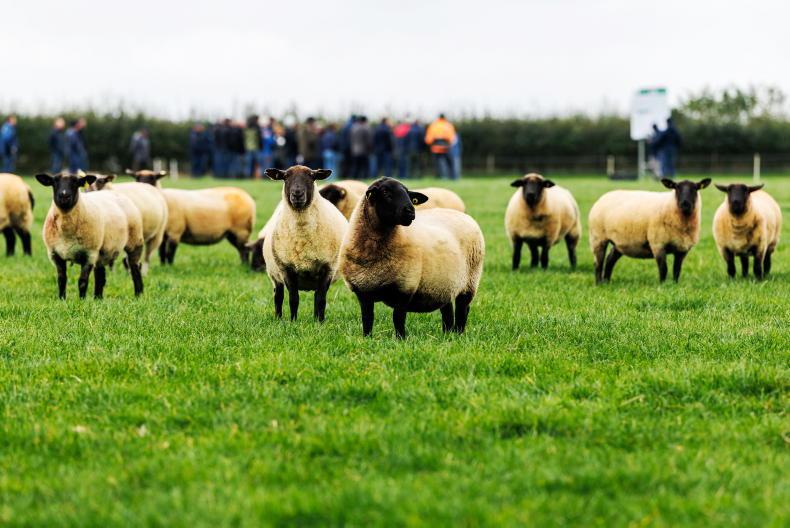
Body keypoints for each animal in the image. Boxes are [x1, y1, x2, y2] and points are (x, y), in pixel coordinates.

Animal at [127, 170, 256, 265]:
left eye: (153, 178)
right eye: (137, 178)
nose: (142, 188)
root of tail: (248, 197)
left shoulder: (175, 232)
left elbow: (170, 252)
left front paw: (169, 267)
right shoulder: (163, 235)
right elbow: (161, 252)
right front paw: (163, 266)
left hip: (241, 230)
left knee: (244, 250)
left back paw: (244, 266)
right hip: (232, 234)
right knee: (241, 249)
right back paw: (242, 265)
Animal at [262, 166, 348, 322]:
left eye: (312, 176)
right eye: (285, 176)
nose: (297, 194)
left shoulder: (328, 268)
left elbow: (320, 300)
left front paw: (320, 322)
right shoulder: (286, 269)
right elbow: (293, 299)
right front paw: (293, 321)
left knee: (316, 296)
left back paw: (315, 319)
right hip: (274, 274)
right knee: (278, 297)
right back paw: (278, 318)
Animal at [339, 177, 485, 338]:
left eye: (409, 194)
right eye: (385, 192)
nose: (410, 211)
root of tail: (463, 215)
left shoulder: (405, 287)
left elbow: (398, 318)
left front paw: (400, 339)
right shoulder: (363, 292)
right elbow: (367, 317)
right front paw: (367, 338)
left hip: (470, 281)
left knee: (462, 309)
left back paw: (458, 334)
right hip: (445, 284)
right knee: (447, 311)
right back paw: (447, 335)